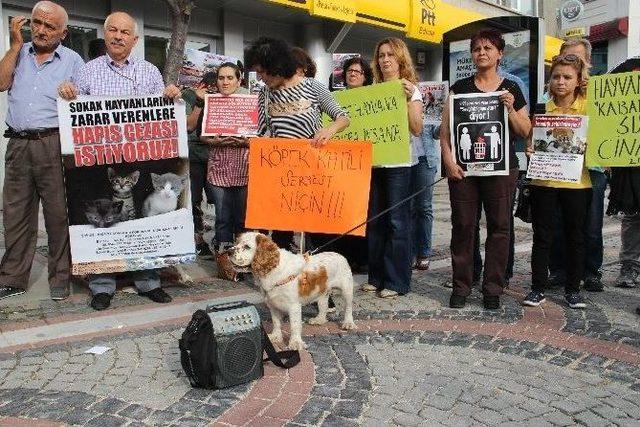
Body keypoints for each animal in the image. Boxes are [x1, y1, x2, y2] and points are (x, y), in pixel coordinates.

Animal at [230, 234, 358, 352]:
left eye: (247, 246)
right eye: (237, 243)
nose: (228, 251)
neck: (273, 269)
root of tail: (340, 255)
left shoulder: (294, 306)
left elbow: (294, 325)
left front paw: (295, 343)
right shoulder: (273, 304)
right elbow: (276, 322)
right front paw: (276, 337)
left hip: (346, 290)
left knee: (348, 308)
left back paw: (348, 323)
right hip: (322, 292)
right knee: (323, 306)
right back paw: (319, 320)